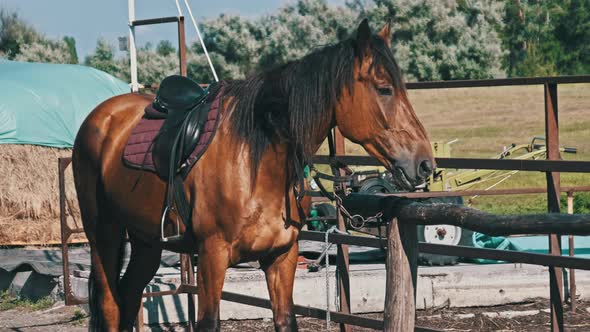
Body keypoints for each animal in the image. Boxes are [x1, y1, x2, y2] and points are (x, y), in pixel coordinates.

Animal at [73, 19, 434, 330]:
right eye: (384, 88)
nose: (424, 163)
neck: (257, 163)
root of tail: (101, 116)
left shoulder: (281, 256)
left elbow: (285, 320)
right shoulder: (211, 256)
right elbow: (208, 323)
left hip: (146, 240)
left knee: (129, 294)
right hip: (104, 233)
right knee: (110, 302)